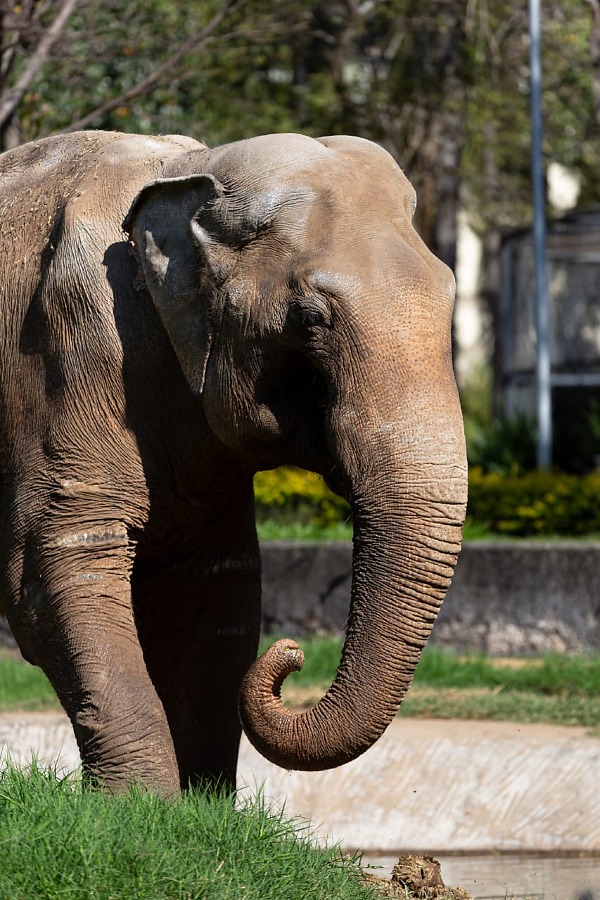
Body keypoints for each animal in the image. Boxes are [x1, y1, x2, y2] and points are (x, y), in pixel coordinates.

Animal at [0, 130, 467, 794]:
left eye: (451, 300)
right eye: (310, 320)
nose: (292, 655)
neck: (189, 169)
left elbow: (216, 588)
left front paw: (203, 806)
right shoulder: (63, 359)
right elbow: (55, 564)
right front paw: (140, 805)